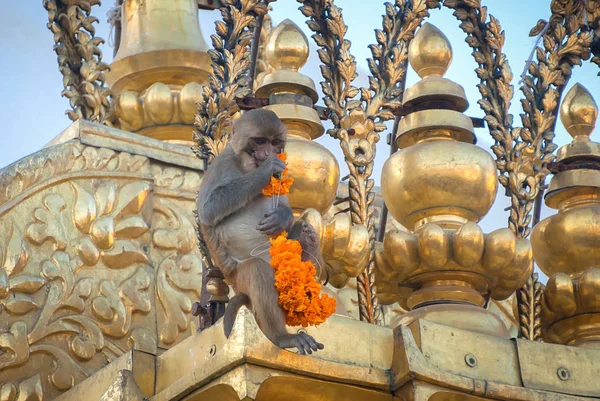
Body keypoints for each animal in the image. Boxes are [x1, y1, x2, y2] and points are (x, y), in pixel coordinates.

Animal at [197, 108, 326, 354]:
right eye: (259, 141)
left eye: (274, 142)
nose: (268, 153)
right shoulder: (222, 164)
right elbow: (208, 210)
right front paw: (267, 170)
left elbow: (284, 207)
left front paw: (282, 217)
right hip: (239, 279)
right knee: (256, 270)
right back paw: (282, 338)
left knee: (300, 232)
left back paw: (309, 242)